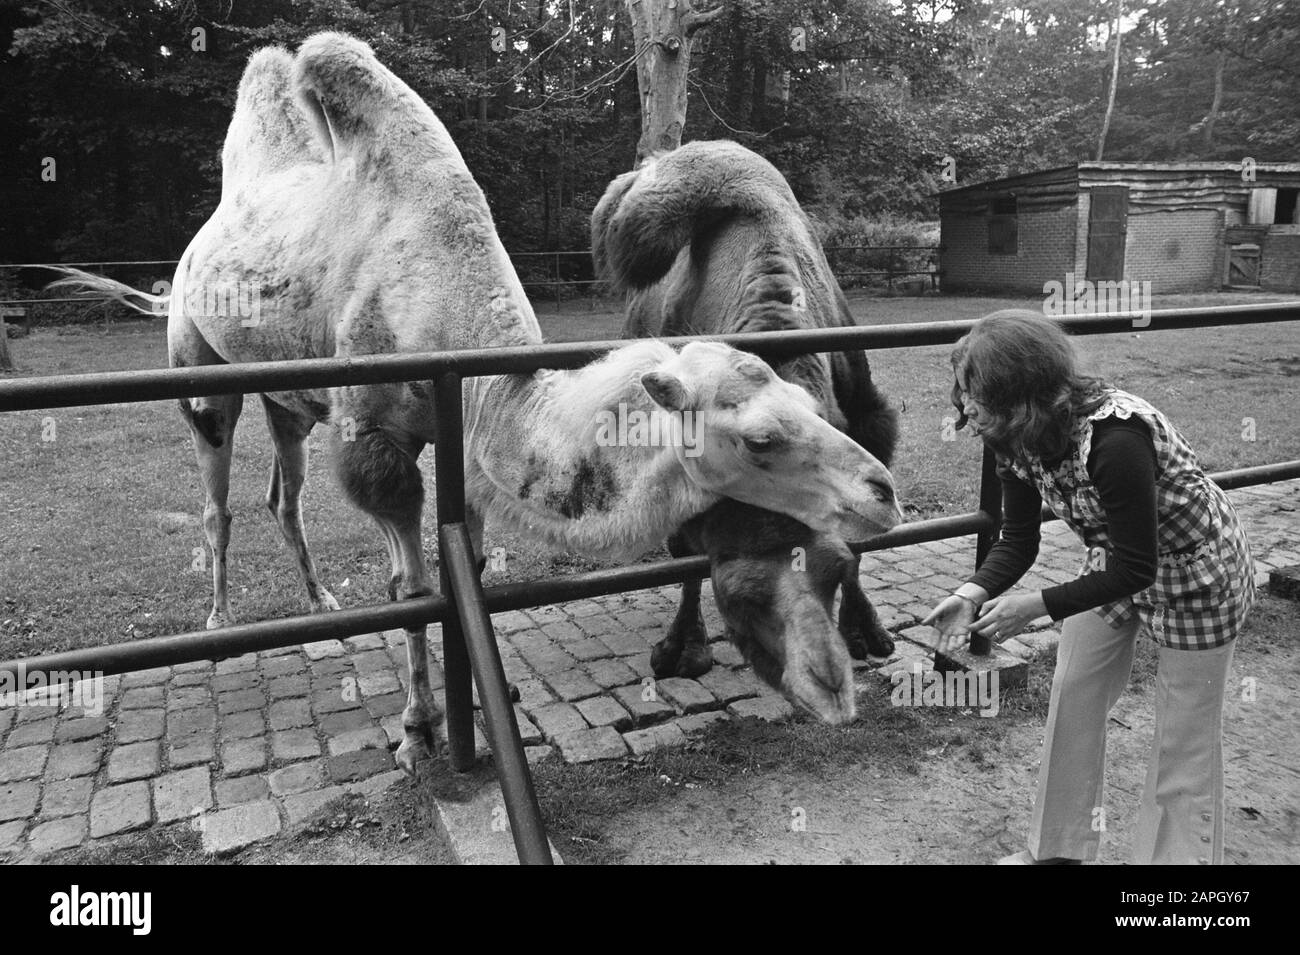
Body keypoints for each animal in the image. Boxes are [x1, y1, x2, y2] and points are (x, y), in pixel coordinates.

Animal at [592, 140, 904, 722]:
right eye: (739, 597)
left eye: (832, 573)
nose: (825, 686)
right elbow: (683, 555)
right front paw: (682, 650)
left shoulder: (871, 425)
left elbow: (863, 535)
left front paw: (866, 630)